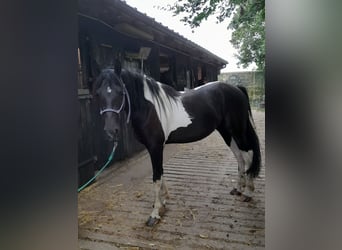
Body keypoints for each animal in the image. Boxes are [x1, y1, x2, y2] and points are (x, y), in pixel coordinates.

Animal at [95, 66, 260, 227]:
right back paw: (238, 189)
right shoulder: (155, 148)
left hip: (238, 131)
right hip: (227, 132)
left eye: (120, 92)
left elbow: (156, 178)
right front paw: (163, 203)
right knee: (240, 157)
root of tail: (237, 89)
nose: (111, 131)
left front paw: (154, 214)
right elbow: (161, 174)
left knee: (248, 156)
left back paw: (248, 192)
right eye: (98, 94)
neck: (150, 108)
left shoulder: (155, 147)